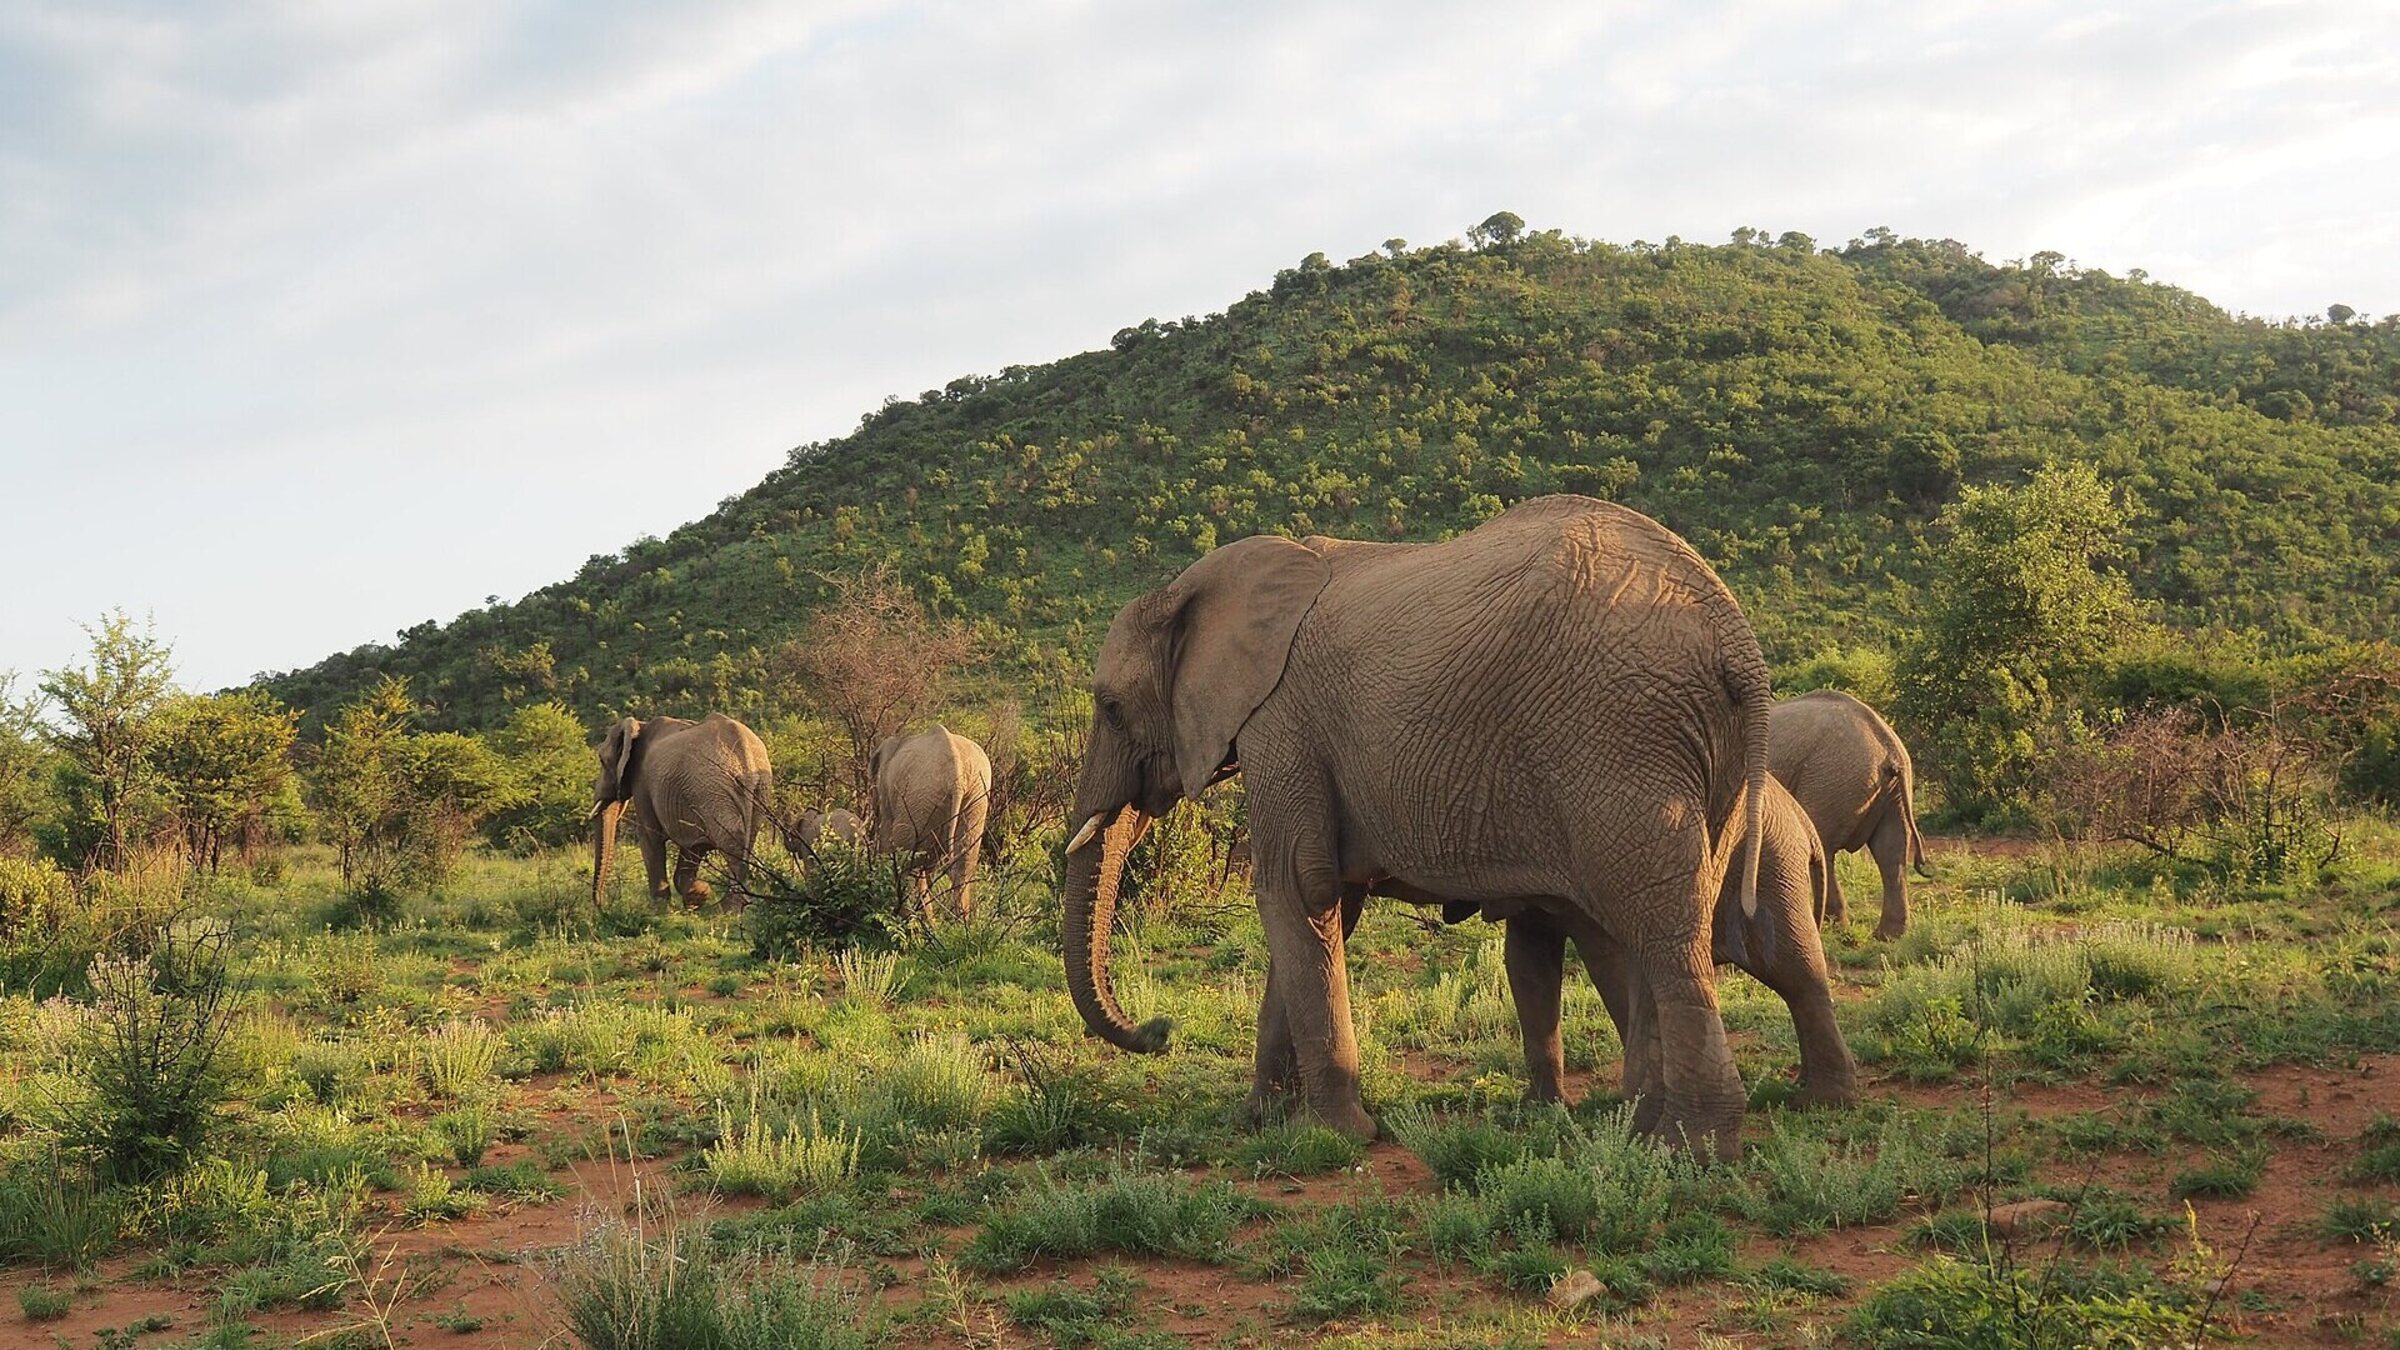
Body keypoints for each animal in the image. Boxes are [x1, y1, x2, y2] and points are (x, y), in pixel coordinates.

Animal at [591, 714, 773, 911]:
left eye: (601, 760)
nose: (601, 906)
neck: (639, 725)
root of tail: (745, 754)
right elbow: (693, 846)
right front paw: (698, 896)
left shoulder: (643, 782)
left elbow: (650, 837)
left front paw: (660, 910)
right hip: (753, 791)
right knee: (747, 839)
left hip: (712, 789)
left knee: (732, 841)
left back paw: (728, 910)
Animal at [870, 726, 992, 921]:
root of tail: (958, 777)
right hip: (976, 799)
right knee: (963, 864)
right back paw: (958, 923)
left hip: (920, 798)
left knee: (912, 864)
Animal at [1063, 495, 1773, 1156]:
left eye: (1111, 707)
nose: (1158, 1030)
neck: (1193, 587)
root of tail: (1733, 633)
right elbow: (1325, 903)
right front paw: (1257, 1121)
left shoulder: (1281, 722)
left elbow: (1297, 886)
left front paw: (1332, 1137)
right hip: (1701, 756)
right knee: (1656, 919)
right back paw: (1642, 1134)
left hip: (1620, 737)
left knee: (1661, 926)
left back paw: (1687, 1148)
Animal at [1770, 689, 1930, 939]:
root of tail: (1889, 747)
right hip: (1890, 792)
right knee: (1891, 851)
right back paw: (1887, 936)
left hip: (1831, 778)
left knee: (1823, 846)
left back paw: (1831, 928)